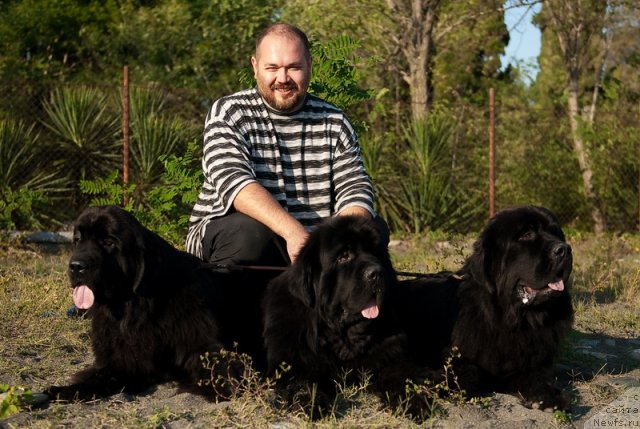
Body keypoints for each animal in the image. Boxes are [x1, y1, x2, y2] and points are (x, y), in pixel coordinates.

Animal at [46, 206, 239, 400]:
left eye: (108, 242)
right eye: (78, 240)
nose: (76, 266)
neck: (135, 305)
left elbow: (213, 360)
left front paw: (223, 384)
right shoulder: (124, 358)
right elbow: (101, 377)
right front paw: (62, 390)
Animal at [262, 216, 432, 416]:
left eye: (375, 252)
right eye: (344, 256)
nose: (376, 273)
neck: (342, 334)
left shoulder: (390, 358)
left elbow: (402, 376)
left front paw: (414, 402)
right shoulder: (295, 360)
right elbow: (303, 382)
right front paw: (311, 403)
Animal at [398, 206, 572, 410]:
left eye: (556, 233)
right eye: (527, 235)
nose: (563, 249)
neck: (509, 319)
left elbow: (536, 375)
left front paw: (548, 395)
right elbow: (472, 372)